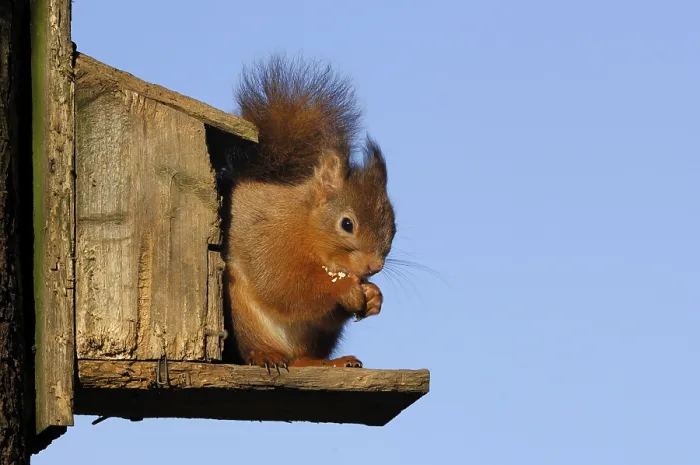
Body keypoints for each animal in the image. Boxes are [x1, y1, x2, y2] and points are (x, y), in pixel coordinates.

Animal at [223, 55, 396, 371]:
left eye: (394, 228)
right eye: (347, 224)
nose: (374, 267)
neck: (305, 225)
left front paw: (374, 296)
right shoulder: (269, 239)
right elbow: (284, 285)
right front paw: (343, 289)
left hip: (315, 337)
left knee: (303, 357)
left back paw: (331, 362)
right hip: (241, 313)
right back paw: (265, 354)